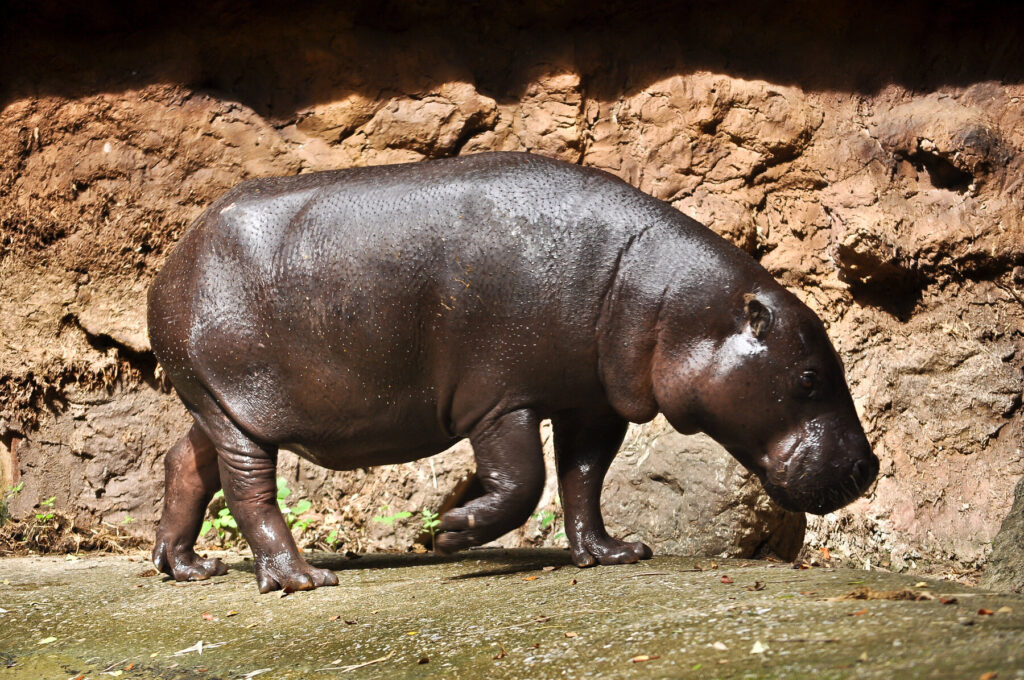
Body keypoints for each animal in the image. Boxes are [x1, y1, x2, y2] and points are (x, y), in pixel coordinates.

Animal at [149, 151, 880, 593]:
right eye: (809, 377)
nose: (868, 466)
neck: (669, 300)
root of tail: (171, 261)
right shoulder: (501, 398)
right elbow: (525, 481)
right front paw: (447, 534)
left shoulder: (592, 403)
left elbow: (583, 480)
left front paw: (614, 553)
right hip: (235, 406)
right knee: (249, 489)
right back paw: (301, 579)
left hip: (216, 404)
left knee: (185, 464)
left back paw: (187, 566)